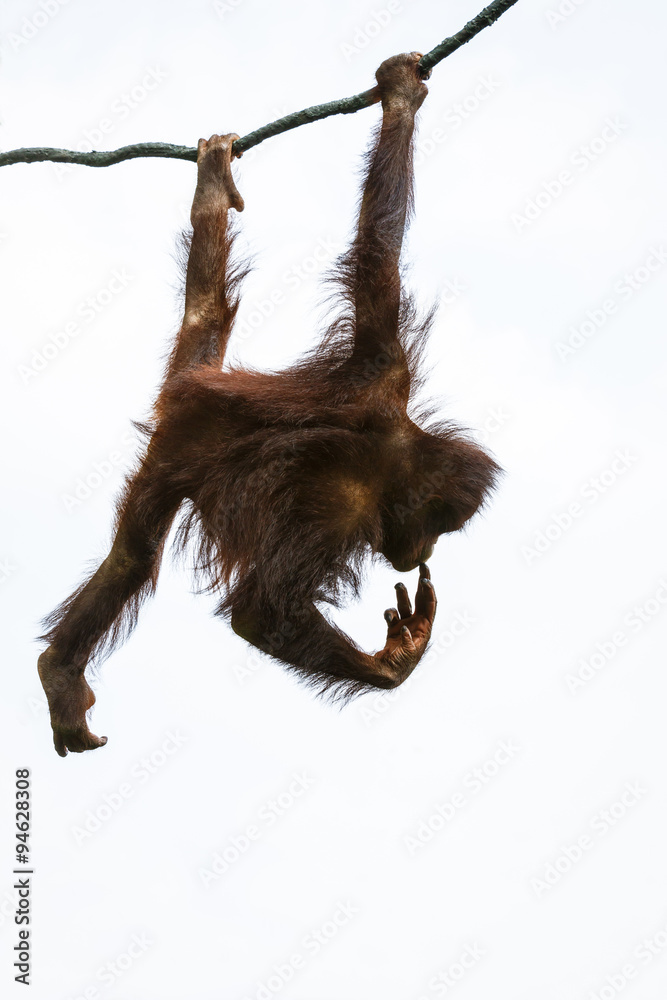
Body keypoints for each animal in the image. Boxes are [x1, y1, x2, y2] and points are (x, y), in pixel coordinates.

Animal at [37, 52, 499, 756]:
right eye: (440, 523)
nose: (422, 553)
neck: (395, 447)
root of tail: (198, 381)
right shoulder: (345, 472)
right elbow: (378, 258)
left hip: (169, 440)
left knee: (131, 554)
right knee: (141, 557)